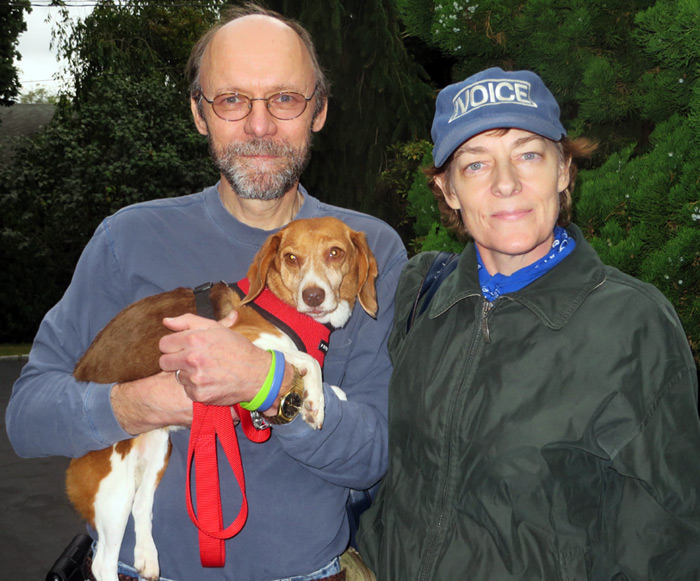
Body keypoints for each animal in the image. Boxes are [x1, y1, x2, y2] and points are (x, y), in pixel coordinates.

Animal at [65, 216, 379, 581]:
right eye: (290, 258)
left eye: (335, 252)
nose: (313, 296)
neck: (284, 306)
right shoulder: (240, 342)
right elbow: (304, 360)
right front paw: (314, 400)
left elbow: (326, 380)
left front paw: (328, 395)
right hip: (113, 489)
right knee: (103, 562)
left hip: (156, 453)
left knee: (142, 507)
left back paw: (147, 559)